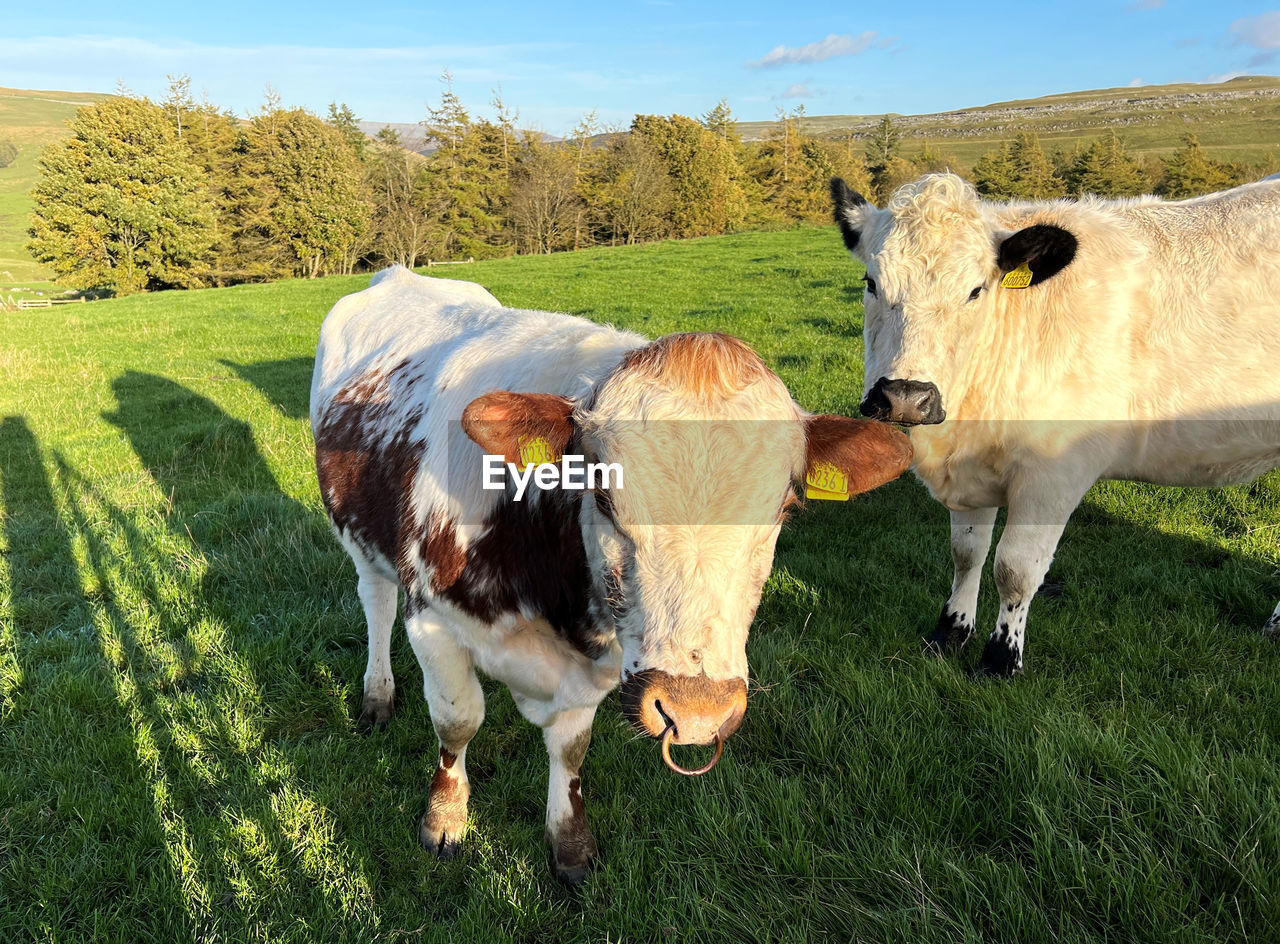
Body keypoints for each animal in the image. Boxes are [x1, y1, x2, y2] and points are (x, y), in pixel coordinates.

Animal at [308, 260, 911, 880]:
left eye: (785, 510)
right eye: (600, 492)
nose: (696, 709)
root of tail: (398, 274)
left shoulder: (597, 668)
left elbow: (570, 748)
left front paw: (570, 845)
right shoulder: (432, 621)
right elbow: (458, 721)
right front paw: (444, 820)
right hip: (357, 538)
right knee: (376, 603)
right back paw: (377, 694)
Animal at [829, 172, 1280, 675]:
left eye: (976, 290)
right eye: (871, 282)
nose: (907, 396)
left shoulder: (1055, 474)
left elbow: (1015, 568)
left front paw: (1001, 658)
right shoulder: (969, 469)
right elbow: (967, 553)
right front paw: (950, 632)